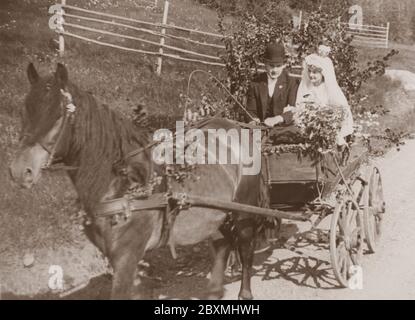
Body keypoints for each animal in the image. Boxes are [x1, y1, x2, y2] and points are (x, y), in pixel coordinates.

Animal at [9, 63, 268, 300]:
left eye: (57, 116)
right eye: (24, 112)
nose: (18, 171)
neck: (122, 183)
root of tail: (237, 127)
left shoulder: (126, 257)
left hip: (243, 212)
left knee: (245, 249)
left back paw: (245, 293)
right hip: (216, 214)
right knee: (222, 244)